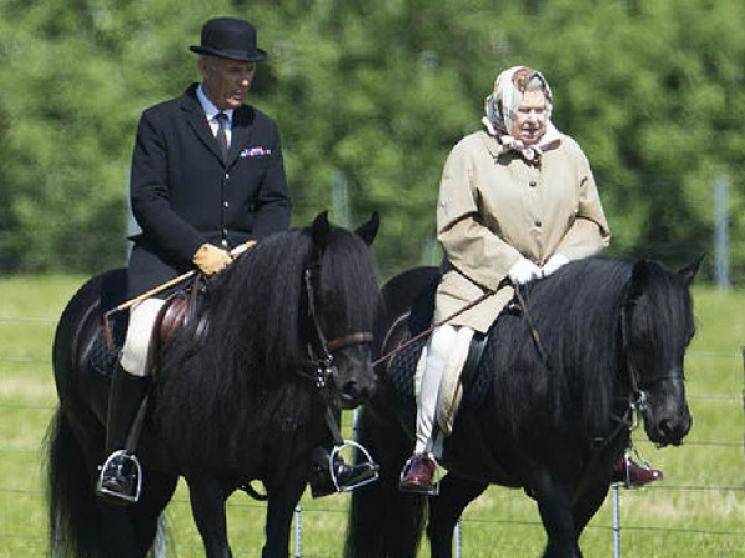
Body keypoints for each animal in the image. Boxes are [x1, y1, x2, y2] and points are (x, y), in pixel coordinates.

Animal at [45, 213, 380, 558]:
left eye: (371, 298)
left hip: (156, 473)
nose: (358, 385)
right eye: (327, 294)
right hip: (94, 448)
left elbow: (275, 545)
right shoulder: (205, 482)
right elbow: (219, 548)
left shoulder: (290, 478)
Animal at [346, 258, 700, 558]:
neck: (561, 370)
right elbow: (567, 549)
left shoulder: (593, 487)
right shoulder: (549, 484)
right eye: (643, 336)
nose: (672, 423)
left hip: (477, 466)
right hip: (390, 443)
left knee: (444, 513)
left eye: (687, 337)